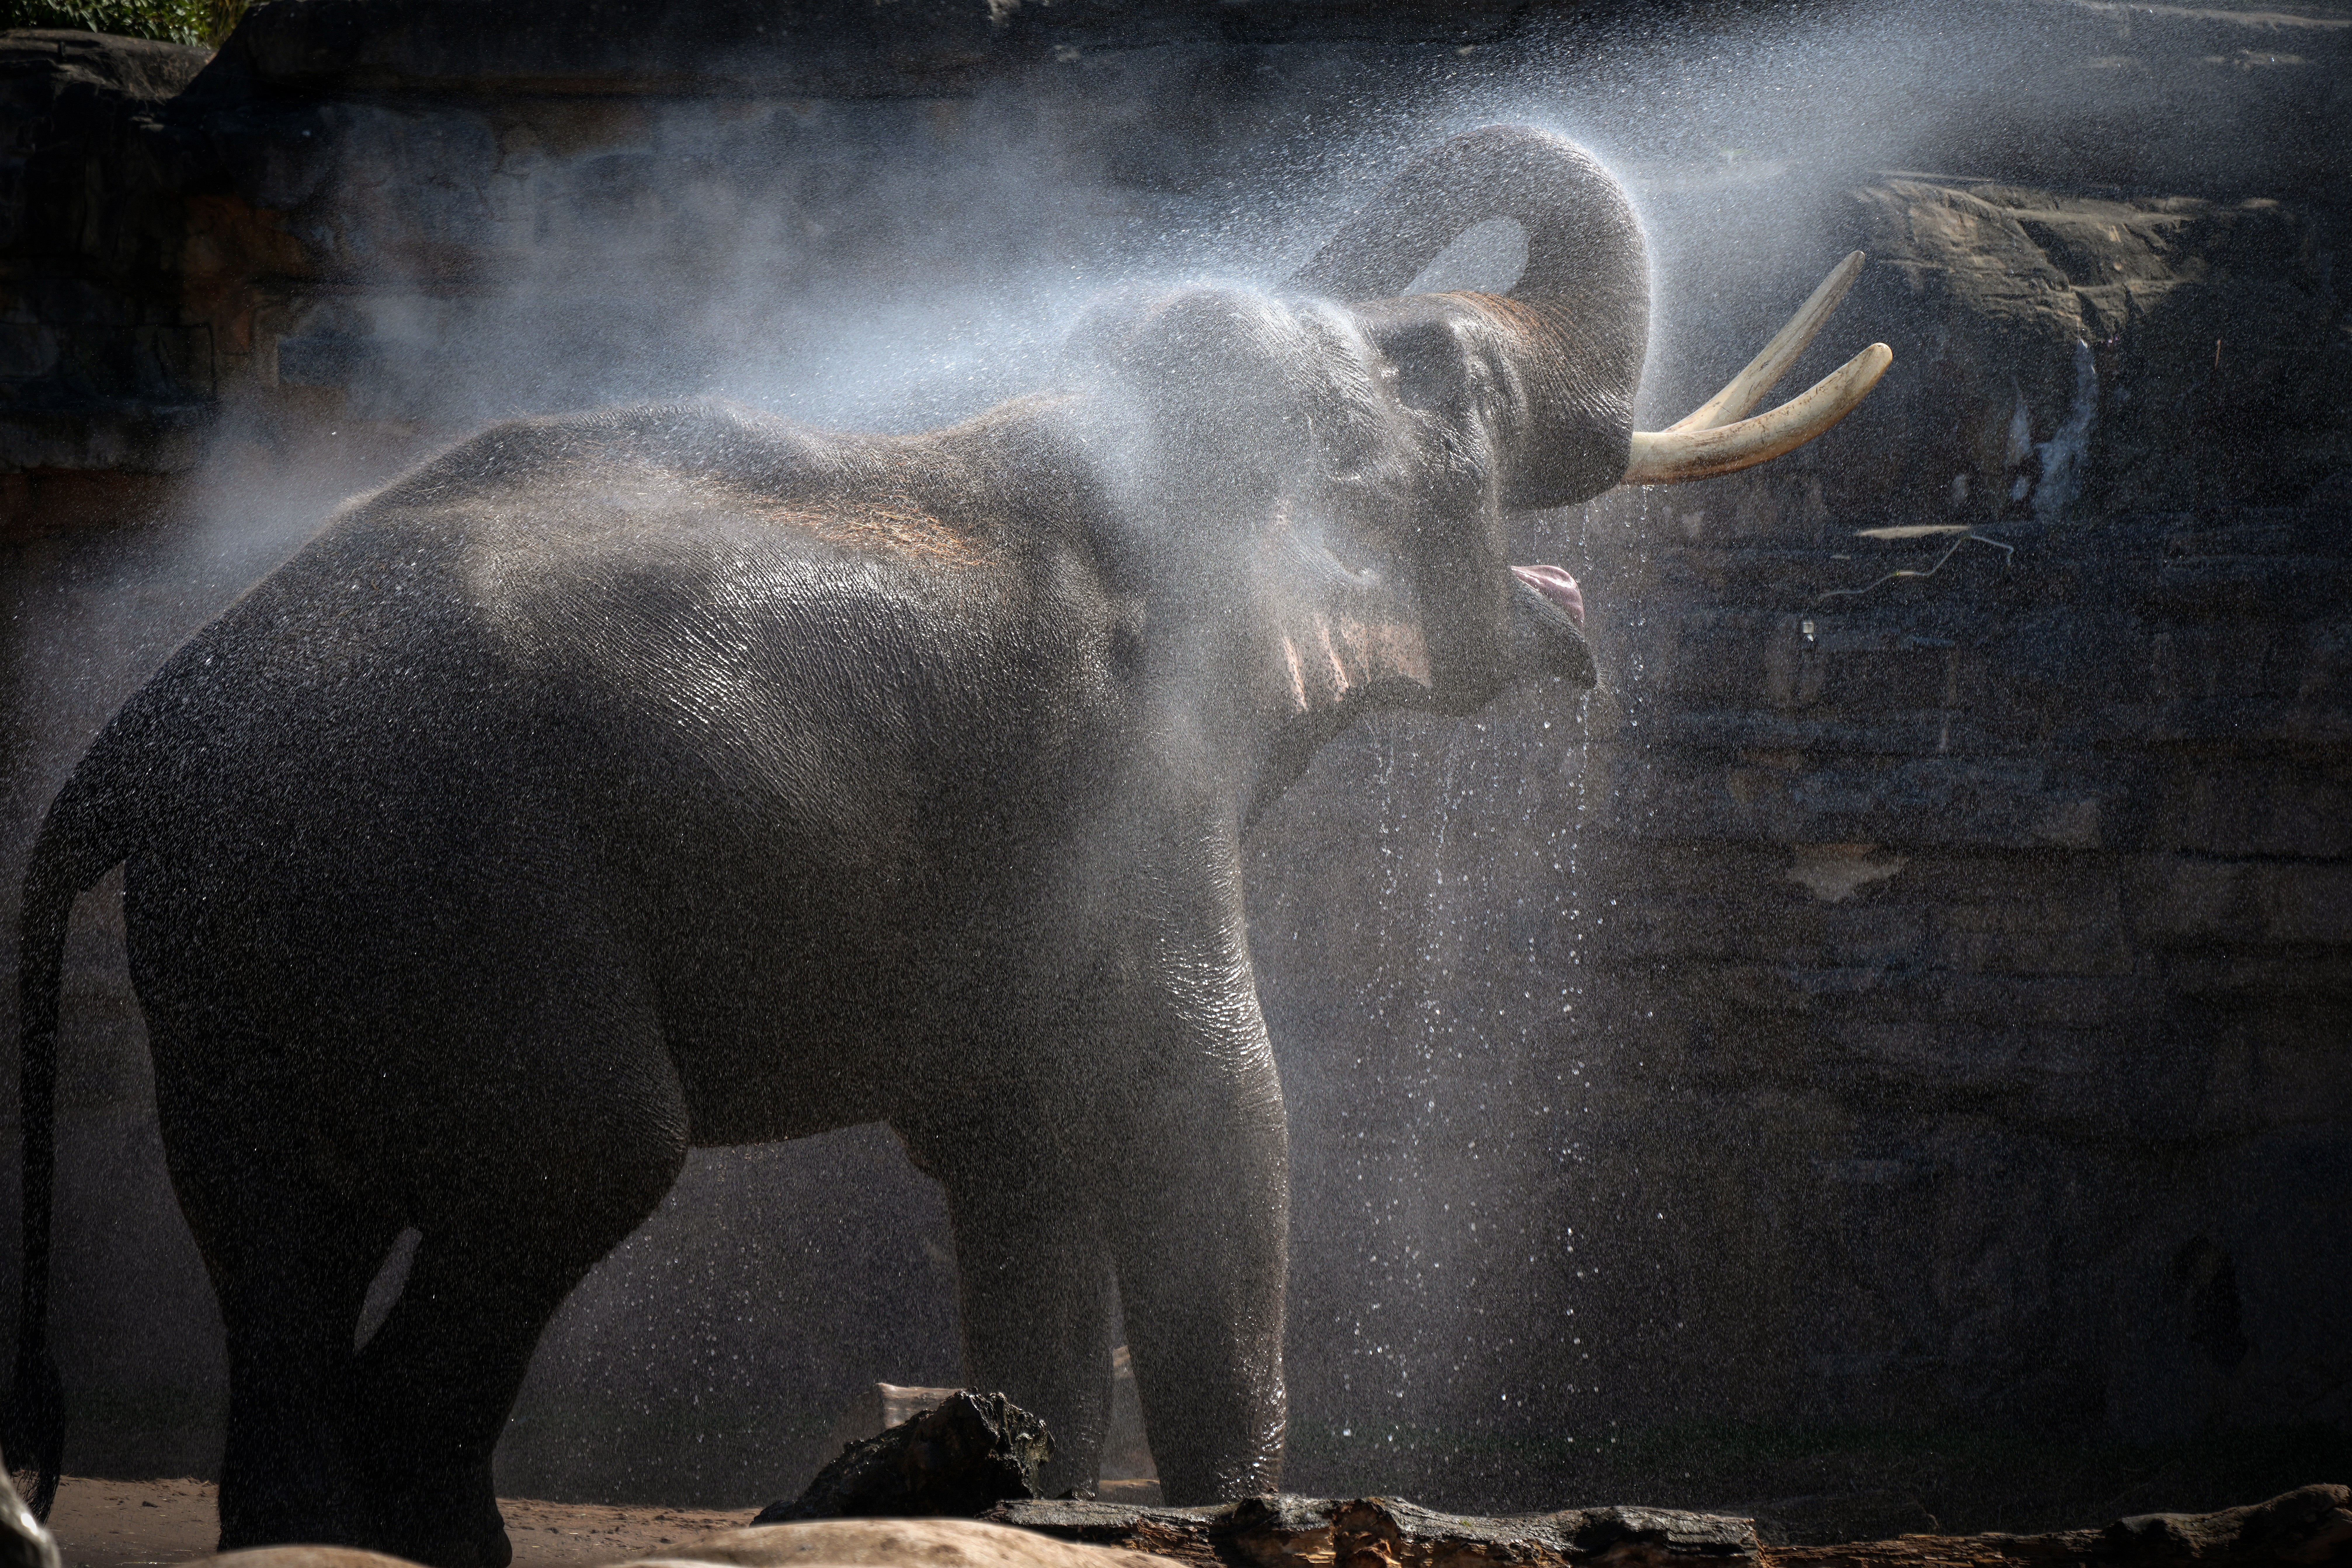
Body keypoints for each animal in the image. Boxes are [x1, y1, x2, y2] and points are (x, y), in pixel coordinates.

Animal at [8, 125, 1886, 1567]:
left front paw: (1026, 1483)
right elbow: (1213, 1116)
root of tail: (138, 729)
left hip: (251, 939)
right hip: (460, 884)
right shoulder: (1127, 786)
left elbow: (1024, 1165)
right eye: (1471, 391)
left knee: (275, 1249)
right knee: (571, 1163)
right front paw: (1231, 1504)